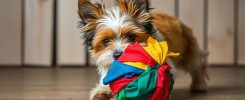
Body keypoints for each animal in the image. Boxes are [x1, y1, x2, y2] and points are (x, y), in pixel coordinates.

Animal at [77, 0, 208, 99]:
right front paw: (102, 91)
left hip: (189, 48)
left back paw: (199, 85)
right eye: (105, 41)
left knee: (196, 66)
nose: (118, 55)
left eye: (131, 37)